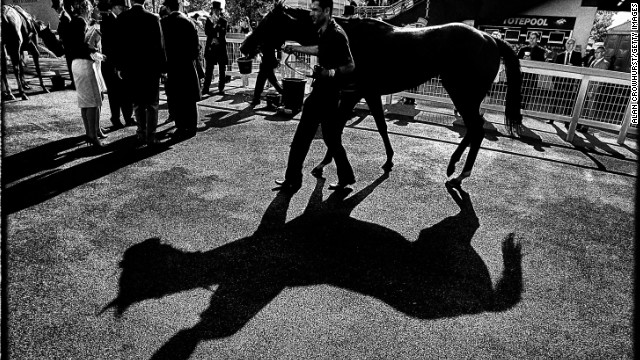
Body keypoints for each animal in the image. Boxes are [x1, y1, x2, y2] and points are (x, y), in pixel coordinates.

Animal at [239, 2, 520, 187]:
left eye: (267, 21)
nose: (244, 46)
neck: (351, 37)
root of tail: (490, 38)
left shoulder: (354, 93)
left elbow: (339, 128)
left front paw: (327, 167)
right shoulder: (367, 92)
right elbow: (377, 126)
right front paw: (386, 162)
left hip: (462, 93)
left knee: (477, 128)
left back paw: (461, 173)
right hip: (463, 94)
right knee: (473, 128)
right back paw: (453, 166)